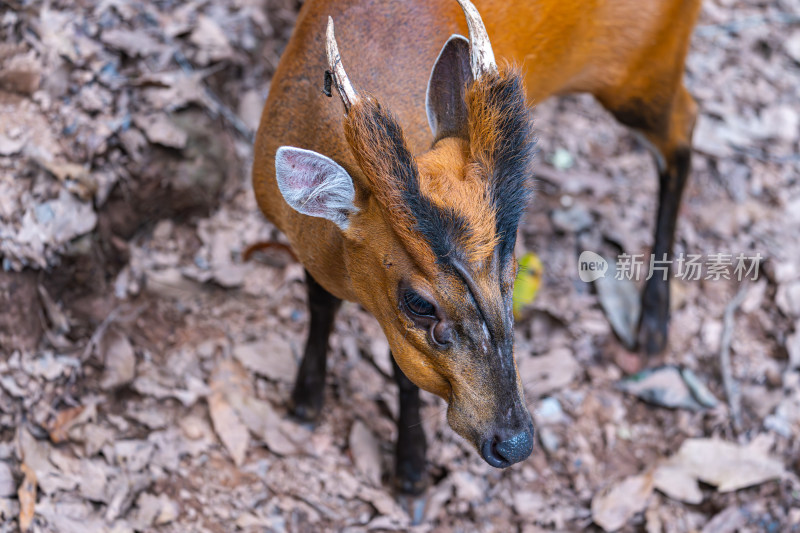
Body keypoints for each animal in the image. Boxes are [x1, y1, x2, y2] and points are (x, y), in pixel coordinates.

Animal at [255, 0, 700, 490]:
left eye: (513, 271)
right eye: (419, 303)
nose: (515, 443)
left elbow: (400, 368)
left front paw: (412, 472)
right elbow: (320, 305)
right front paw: (304, 401)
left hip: (644, 72)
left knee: (685, 125)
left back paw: (653, 325)